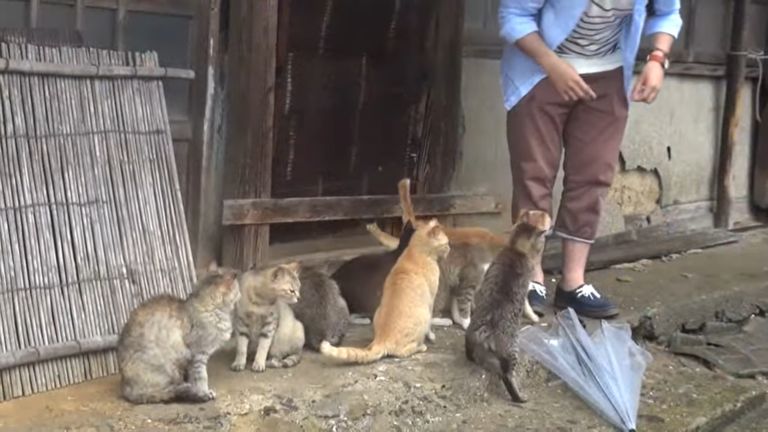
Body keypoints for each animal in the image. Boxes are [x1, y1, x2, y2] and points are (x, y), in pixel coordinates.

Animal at [117, 264, 240, 404]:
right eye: (237, 289)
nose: (240, 293)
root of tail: (125, 388)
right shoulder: (198, 354)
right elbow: (201, 377)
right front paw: (203, 392)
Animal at [320, 219, 450, 364]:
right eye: (446, 243)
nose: (449, 249)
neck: (413, 250)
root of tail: (382, 340)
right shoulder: (430, 299)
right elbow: (432, 320)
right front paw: (437, 329)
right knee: (403, 351)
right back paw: (420, 346)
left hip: (377, 309)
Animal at [462, 211, 552, 404]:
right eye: (541, 242)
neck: (515, 250)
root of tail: (488, 332)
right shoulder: (525, 288)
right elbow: (527, 306)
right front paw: (534, 317)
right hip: (511, 351)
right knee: (507, 375)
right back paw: (519, 397)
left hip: (470, 336)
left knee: (470, 351)